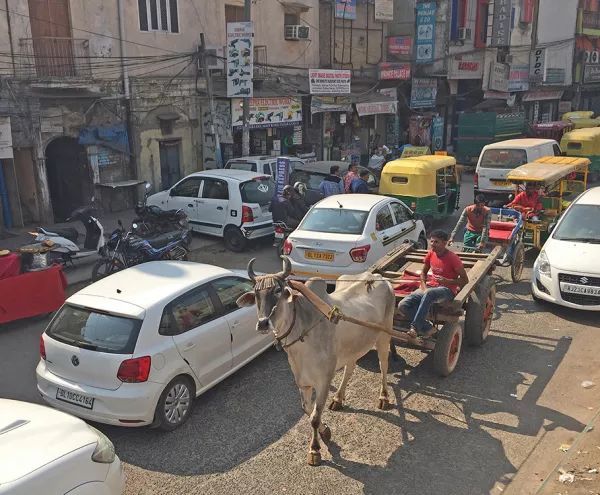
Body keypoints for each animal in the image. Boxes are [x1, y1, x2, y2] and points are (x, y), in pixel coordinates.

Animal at [237, 258, 396, 466]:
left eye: (278, 290)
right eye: (256, 293)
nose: (263, 323)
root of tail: (378, 277)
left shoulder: (324, 381)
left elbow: (314, 417)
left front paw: (315, 450)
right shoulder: (303, 382)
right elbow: (307, 410)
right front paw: (325, 431)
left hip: (384, 336)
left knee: (384, 365)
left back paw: (383, 397)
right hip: (352, 347)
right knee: (350, 368)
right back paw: (338, 399)